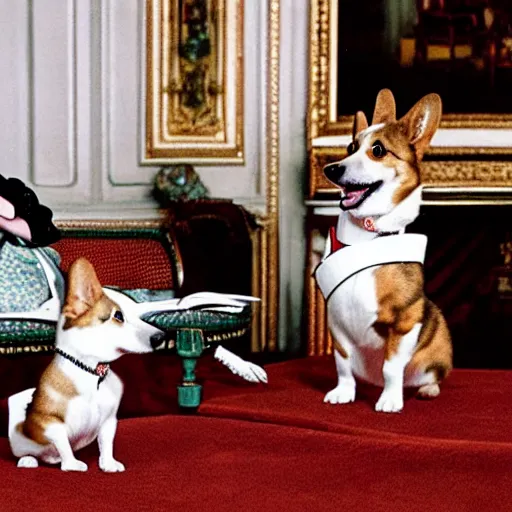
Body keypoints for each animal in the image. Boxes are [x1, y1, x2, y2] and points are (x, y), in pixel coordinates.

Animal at [6, 258, 170, 474]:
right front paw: (71, 464)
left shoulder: (109, 421)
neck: (92, 373)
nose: (161, 337)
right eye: (118, 316)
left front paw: (108, 464)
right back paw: (28, 460)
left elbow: (106, 443)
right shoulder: (48, 421)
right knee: (27, 451)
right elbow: (62, 441)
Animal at [316, 90, 452, 414]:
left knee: (431, 374)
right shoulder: (336, 325)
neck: (365, 238)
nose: (330, 169)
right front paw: (344, 392)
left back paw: (426, 389)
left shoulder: (405, 320)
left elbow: (392, 369)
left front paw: (390, 399)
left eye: (378, 150)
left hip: (437, 333)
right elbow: (342, 365)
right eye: (350, 147)